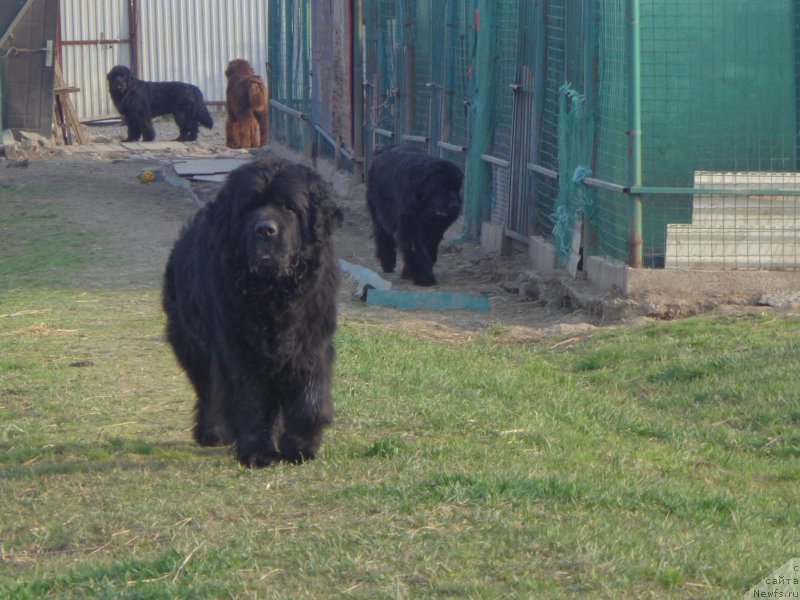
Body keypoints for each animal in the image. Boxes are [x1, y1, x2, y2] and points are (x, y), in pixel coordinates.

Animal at [164, 157, 342, 466]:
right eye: (249, 207)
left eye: (289, 207)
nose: (265, 229)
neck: (273, 293)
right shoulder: (240, 349)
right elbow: (250, 399)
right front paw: (258, 452)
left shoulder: (310, 341)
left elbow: (310, 398)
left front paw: (300, 446)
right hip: (192, 343)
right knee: (208, 390)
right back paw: (213, 432)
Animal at [364, 145, 462, 286]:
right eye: (441, 187)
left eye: (456, 187)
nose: (455, 205)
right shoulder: (410, 227)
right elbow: (417, 250)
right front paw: (424, 277)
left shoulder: (434, 231)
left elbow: (428, 249)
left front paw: (410, 272)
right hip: (379, 214)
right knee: (383, 235)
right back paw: (388, 262)